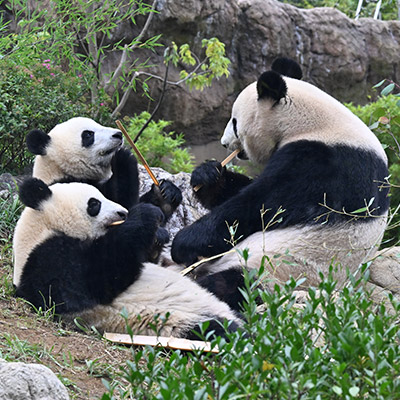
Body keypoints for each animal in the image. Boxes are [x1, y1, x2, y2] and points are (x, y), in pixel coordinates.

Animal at [13, 178, 241, 338]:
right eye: (94, 203)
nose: (122, 212)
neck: (44, 227)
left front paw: (163, 198)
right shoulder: (47, 259)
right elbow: (98, 279)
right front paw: (143, 215)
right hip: (178, 321)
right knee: (218, 330)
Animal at [172, 57, 390, 290]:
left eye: (235, 122)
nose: (224, 143)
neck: (312, 123)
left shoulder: (322, 164)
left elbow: (257, 207)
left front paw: (183, 243)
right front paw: (208, 176)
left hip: (274, 273)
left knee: (227, 284)